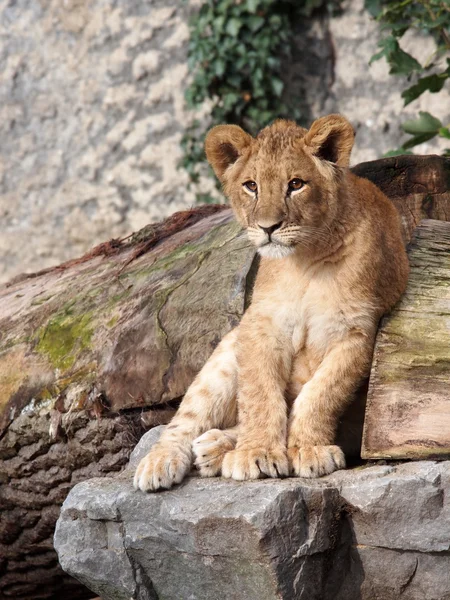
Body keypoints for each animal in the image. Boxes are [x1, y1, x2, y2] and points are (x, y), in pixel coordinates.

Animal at [133, 113, 408, 492]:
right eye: (251, 186)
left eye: (296, 184)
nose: (268, 227)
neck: (306, 260)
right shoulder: (259, 324)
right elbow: (260, 393)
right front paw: (257, 453)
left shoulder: (356, 332)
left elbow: (321, 394)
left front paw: (308, 449)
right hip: (222, 361)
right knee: (184, 419)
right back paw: (162, 462)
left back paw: (213, 448)